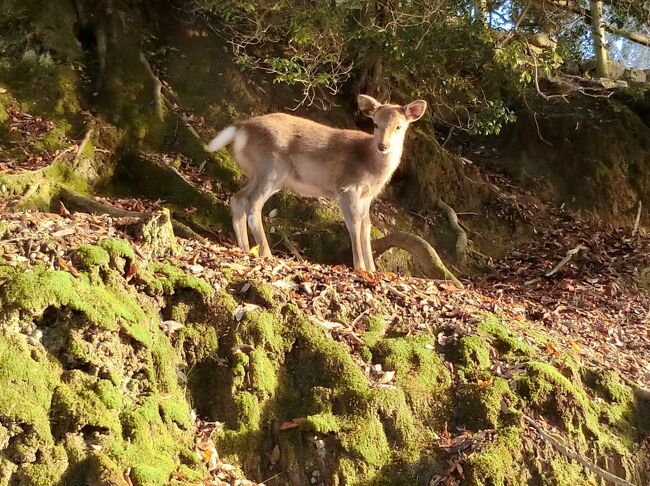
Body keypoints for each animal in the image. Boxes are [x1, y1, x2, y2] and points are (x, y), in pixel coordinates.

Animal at [204, 93, 426, 272]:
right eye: (376, 124)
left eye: (399, 127)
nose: (383, 146)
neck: (370, 166)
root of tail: (243, 128)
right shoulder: (346, 187)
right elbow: (353, 224)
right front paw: (360, 268)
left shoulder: (367, 196)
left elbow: (366, 226)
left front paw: (373, 270)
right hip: (271, 167)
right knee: (253, 204)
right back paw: (266, 253)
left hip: (264, 174)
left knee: (238, 198)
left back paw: (244, 248)